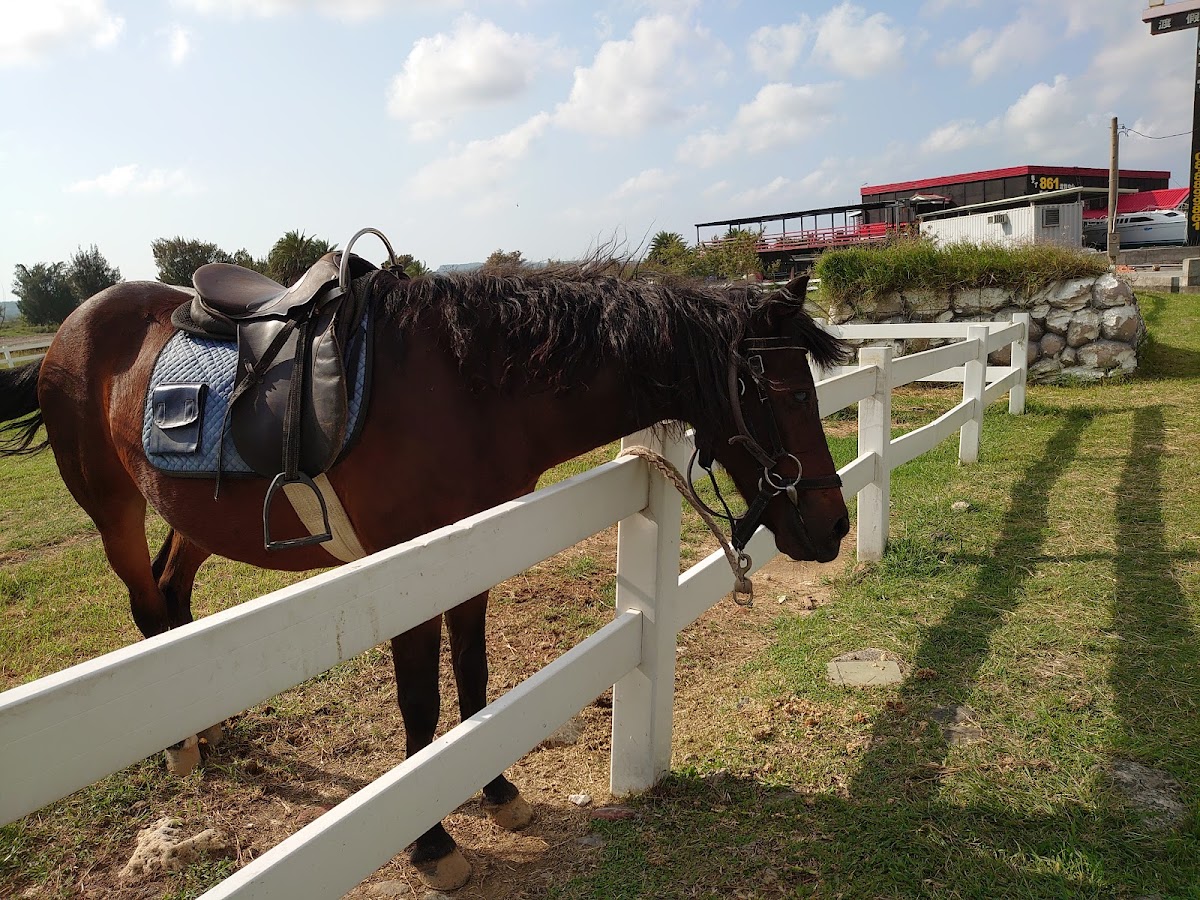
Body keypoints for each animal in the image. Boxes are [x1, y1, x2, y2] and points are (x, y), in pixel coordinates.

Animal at [0, 259, 850, 890]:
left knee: (173, 595)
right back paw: (178, 747)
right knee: (147, 606)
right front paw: (433, 843)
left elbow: (473, 678)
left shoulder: (471, 554)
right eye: (778, 391)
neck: (470, 388)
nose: (833, 525)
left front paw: (498, 791)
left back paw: (205, 730)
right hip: (114, 511)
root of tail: (70, 332)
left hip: (195, 517)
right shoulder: (404, 569)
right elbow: (421, 703)